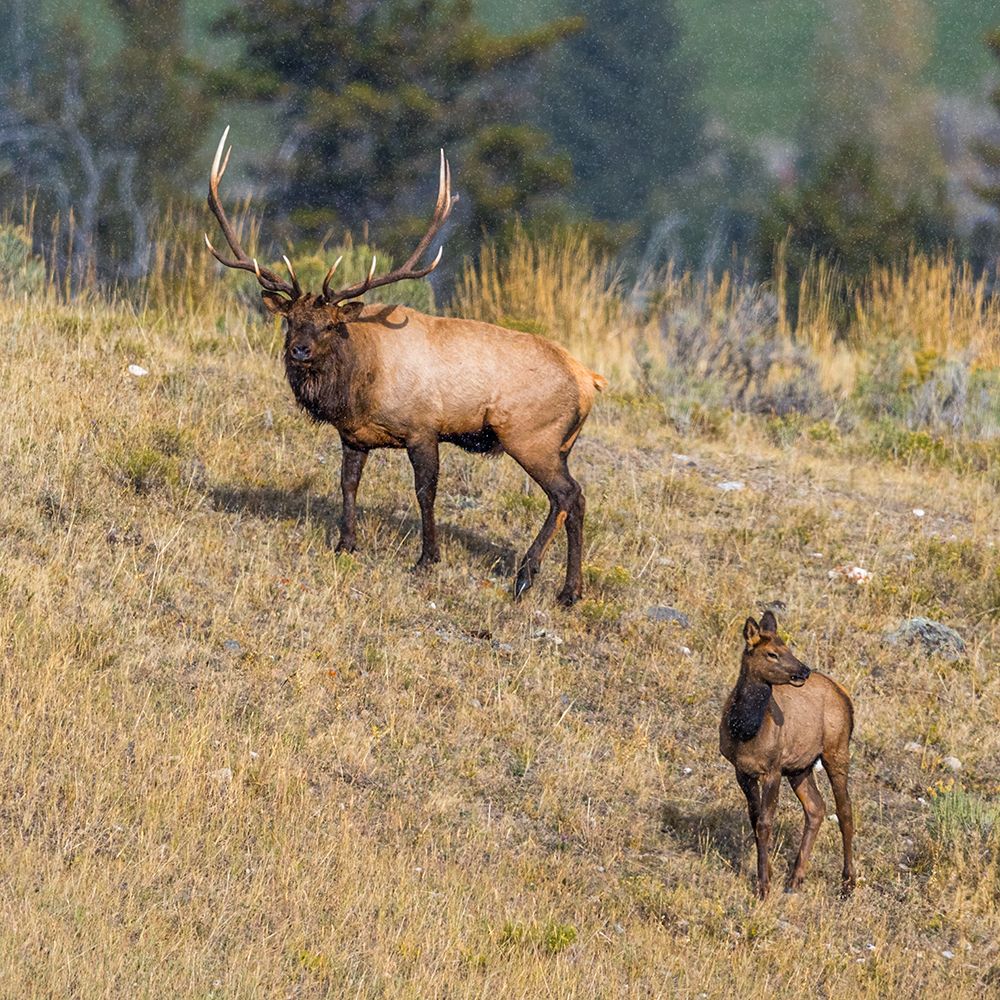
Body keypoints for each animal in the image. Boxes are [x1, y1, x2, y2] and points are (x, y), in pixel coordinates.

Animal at [204, 129, 605, 605]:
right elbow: (348, 483)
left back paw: (534, 578)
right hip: (559, 445)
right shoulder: (353, 436)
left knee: (569, 494)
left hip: (532, 435)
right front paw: (346, 543)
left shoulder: (423, 428)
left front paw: (427, 557)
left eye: (330, 324)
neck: (360, 387)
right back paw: (563, 588)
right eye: (291, 320)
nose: (300, 351)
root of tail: (589, 380)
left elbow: (425, 492)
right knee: (571, 500)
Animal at [719, 610, 855, 899]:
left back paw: (848, 882)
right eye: (771, 653)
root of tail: (844, 694)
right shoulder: (742, 771)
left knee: (845, 810)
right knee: (816, 807)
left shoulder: (772, 769)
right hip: (800, 767)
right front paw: (768, 875)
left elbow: (765, 823)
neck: (745, 730)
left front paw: (763, 886)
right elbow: (755, 820)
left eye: (788, 649)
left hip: (836, 751)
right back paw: (795, 878)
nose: (803, 670)